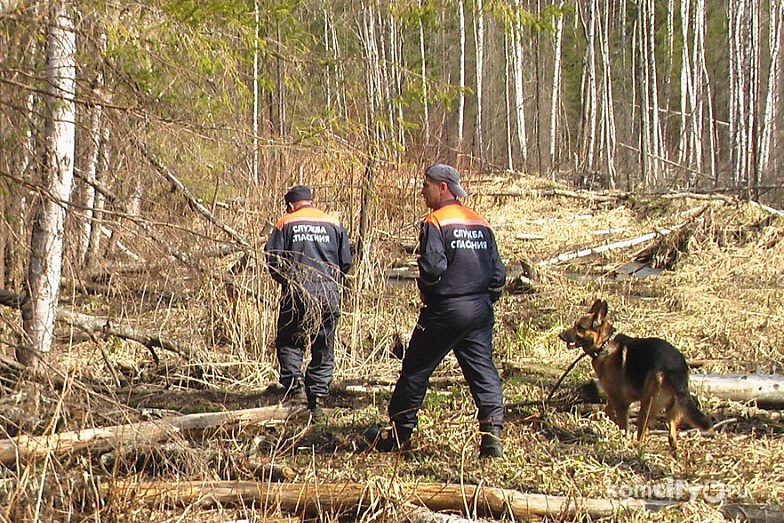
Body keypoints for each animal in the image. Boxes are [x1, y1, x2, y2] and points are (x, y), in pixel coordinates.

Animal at [556, 298, 712, 450]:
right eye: (575, 324)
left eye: (580, 327)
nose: (560, 335)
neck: (605, 344)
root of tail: (675, 368)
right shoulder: (618, 399)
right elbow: (608, 412)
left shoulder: (621, 402)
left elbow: (620, 422)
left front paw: (624, 437)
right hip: (673, 408)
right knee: (672, 436)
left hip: (647, 405)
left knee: (641, 434)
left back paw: (636, 446)